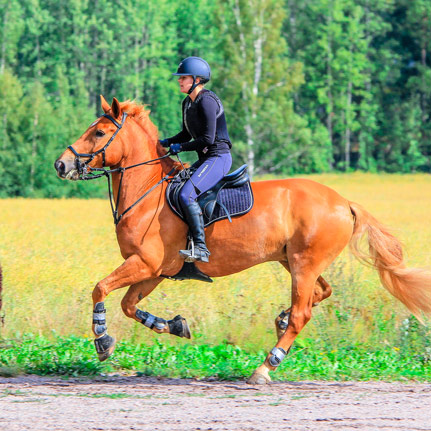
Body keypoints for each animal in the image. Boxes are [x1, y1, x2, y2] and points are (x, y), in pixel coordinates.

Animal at [54, 95, 431, 384]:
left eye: (99, 132)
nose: (61, 164)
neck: (148, 192)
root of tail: (344, 202)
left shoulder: (145, 263)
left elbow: (100, 289)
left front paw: (103, 340)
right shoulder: (155, 271)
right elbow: (129, 305)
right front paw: (174, 325)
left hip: (304, 264)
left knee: (302, 313)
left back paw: (265, 366)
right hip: (295, 261)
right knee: (319, 294)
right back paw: (280, 322)